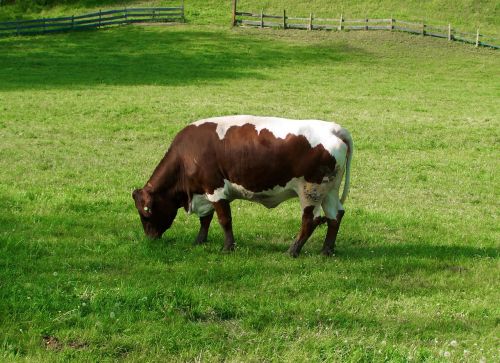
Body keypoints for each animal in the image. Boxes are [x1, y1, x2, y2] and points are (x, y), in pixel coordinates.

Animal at [132, 115, 352, 258]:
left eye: (146, 213)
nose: (150, 238)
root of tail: (334, 128)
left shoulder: (215, 189)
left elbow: (224, 220)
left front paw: (228, 247)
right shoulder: (205, 192)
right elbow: (205, 219)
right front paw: (199, 241)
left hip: (311, 191)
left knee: (310, 220)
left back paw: (293, 250)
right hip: (329, 191)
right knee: (335, 216)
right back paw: (326, 251)